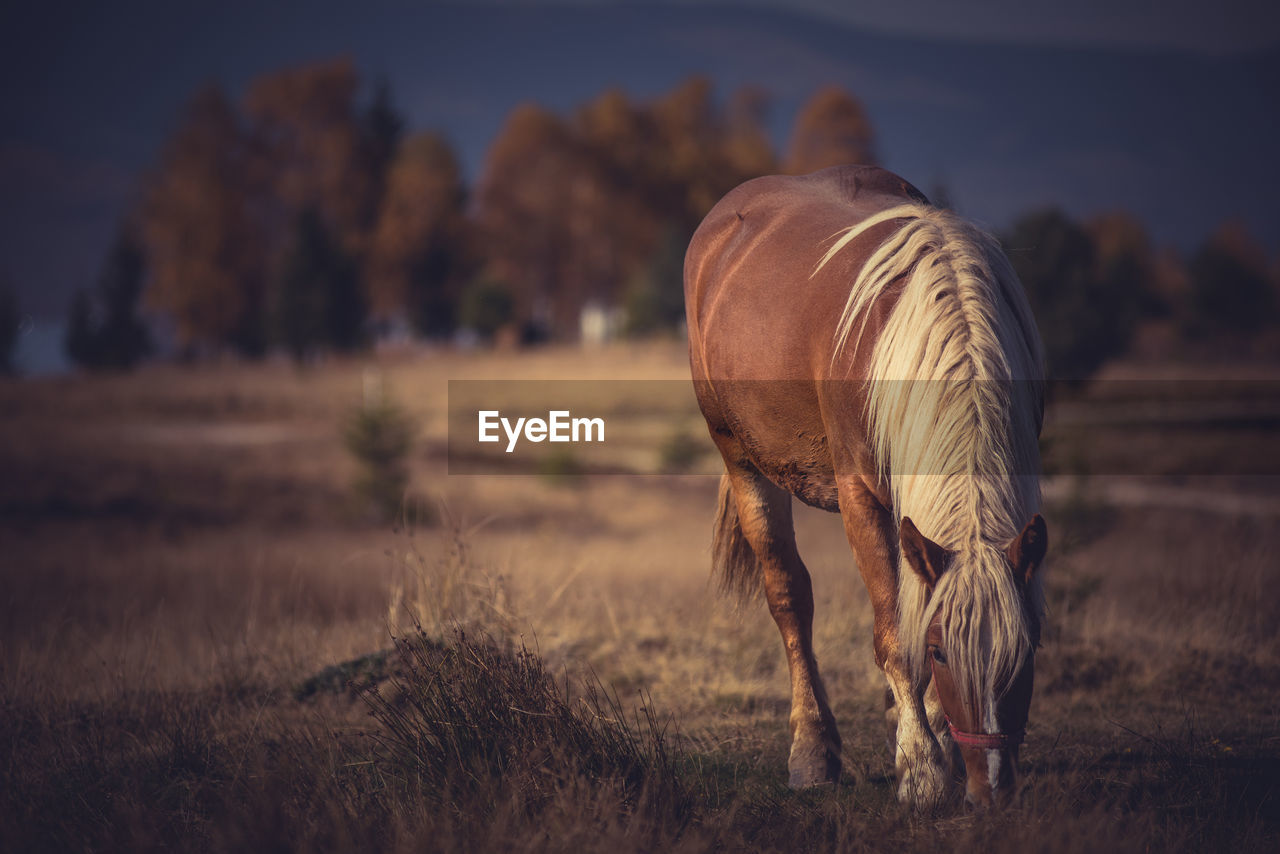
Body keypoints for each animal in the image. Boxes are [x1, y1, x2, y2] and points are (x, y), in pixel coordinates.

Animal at [691, 161, 1049, 809]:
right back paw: (812, 753)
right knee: (788, 597)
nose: (991, 789)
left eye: (1026, 649)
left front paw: (929, 741)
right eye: (940, 652)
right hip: (741, 458)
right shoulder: (860, 495)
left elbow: (914, 608)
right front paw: (921, 769)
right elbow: (892, 635)